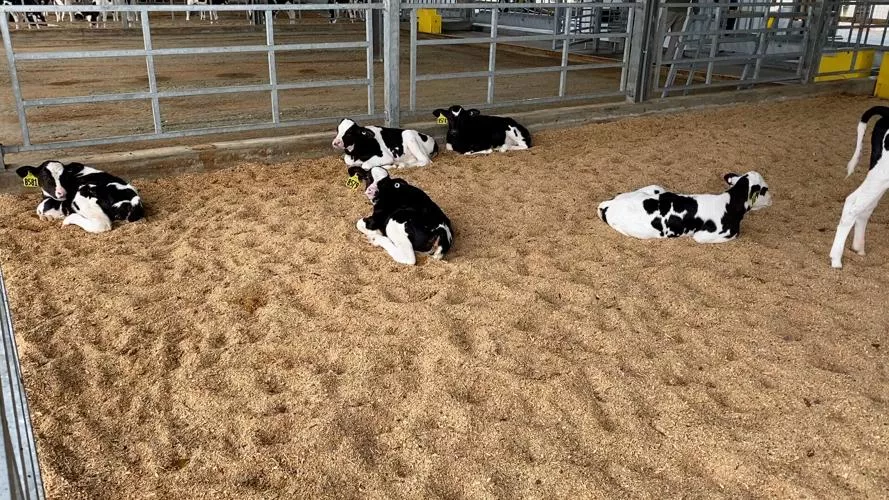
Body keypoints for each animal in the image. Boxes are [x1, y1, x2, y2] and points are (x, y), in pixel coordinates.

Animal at [15, 160, 144, 229]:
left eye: (65, 176)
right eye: (45, 177)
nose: (62, 192)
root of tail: (134, 200)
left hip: (82, 198)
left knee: (101, 224)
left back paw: (68, 219)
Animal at [597, 171, 772, 243]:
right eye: (765, 189)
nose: (772, 199)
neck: (729, 204)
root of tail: (608, 204)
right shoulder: (704, 236)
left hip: (656, 188)